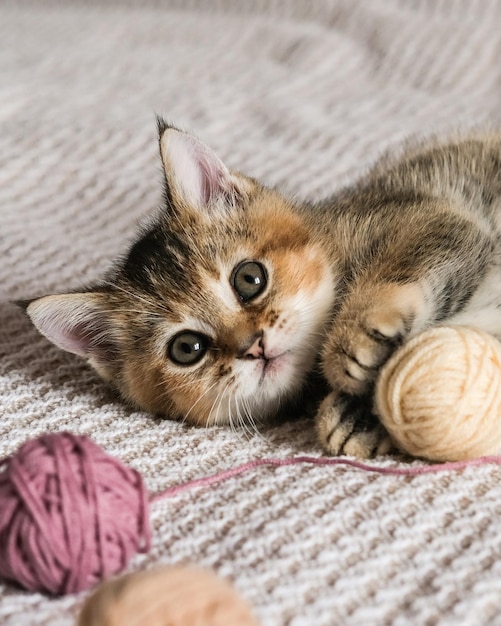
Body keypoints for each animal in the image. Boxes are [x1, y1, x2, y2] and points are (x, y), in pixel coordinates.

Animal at [26, 120, 500, 454]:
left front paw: (353, 342)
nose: (253, 346)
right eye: (187, 348)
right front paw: (361, 416)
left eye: (249, 279)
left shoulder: (440, 214)